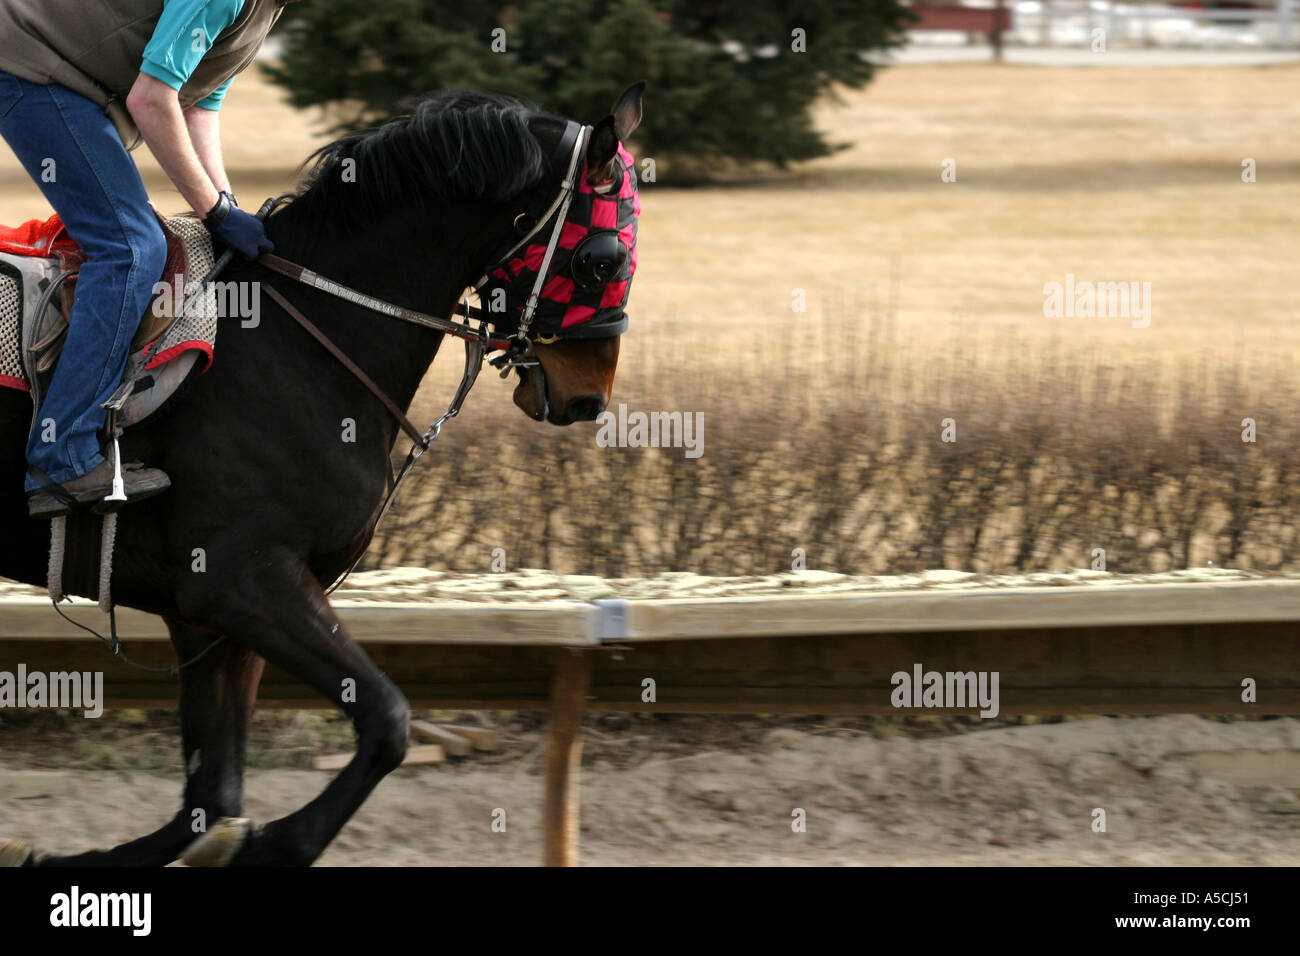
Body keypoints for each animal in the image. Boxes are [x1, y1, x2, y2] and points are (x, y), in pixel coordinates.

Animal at [0, 85, 644, 868]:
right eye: (603, 259)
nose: (589, 397)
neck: (302, 339)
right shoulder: (243, 580)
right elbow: (388, 720)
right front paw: (279, 843)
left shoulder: (212, 615)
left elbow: (209, 797)